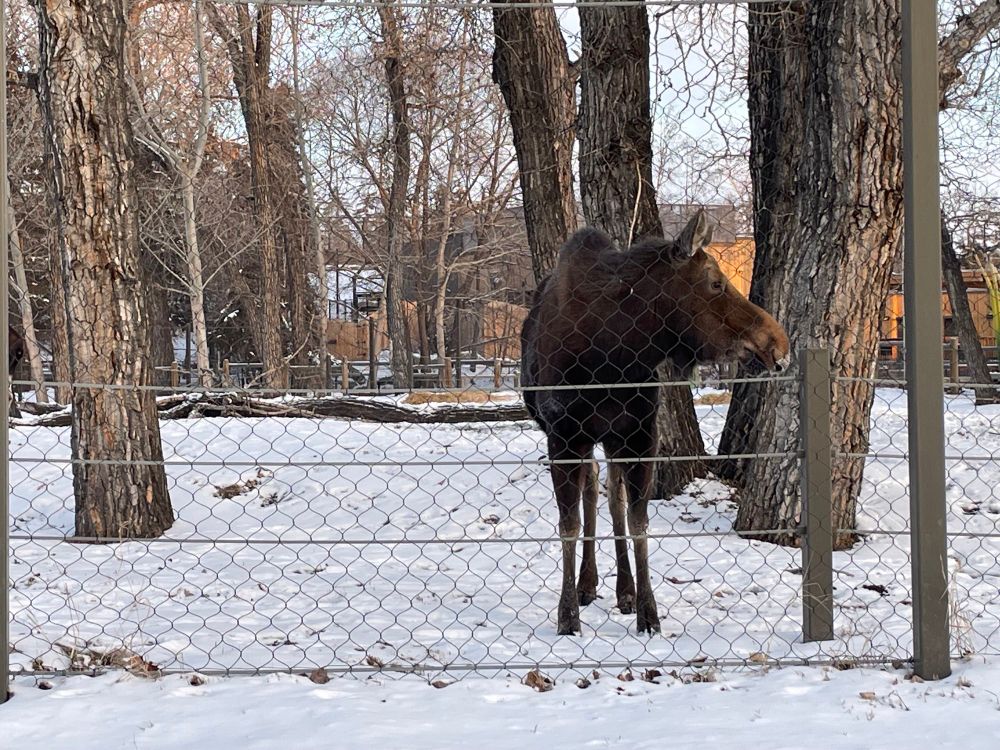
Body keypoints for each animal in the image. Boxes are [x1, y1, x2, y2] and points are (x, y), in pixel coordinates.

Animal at [521, 209, 790, 635]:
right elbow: (569, 524)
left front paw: (648, 610)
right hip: (587, 439)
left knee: (611, 496)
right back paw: (586, 584)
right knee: (592, 492)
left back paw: (622, 590)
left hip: (612, 439)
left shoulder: (640, 434)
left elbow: (637, 520)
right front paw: (567, 616)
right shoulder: (562, 435)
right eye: (716, 283)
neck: (612, 355)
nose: (777, 343)